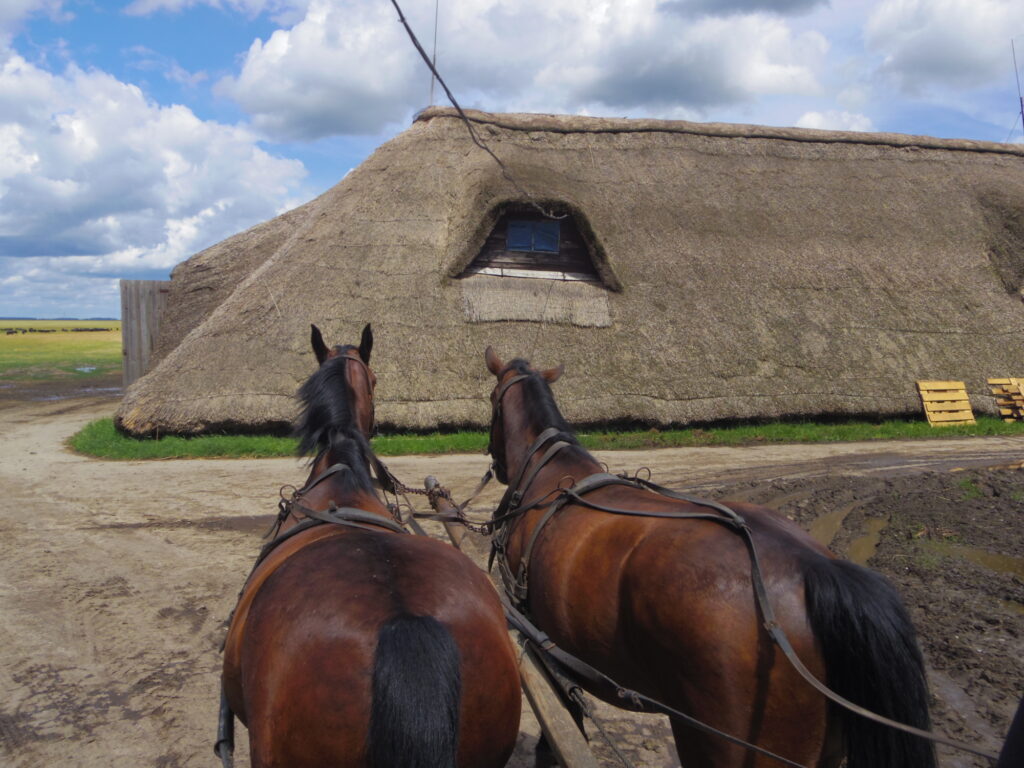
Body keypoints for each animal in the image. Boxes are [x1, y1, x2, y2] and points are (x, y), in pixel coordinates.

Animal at [479, 350, 937, 768]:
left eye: (490, 400)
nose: (496, 465)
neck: (548, 473)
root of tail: (815, 568)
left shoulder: (540, 633)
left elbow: (565, 709)